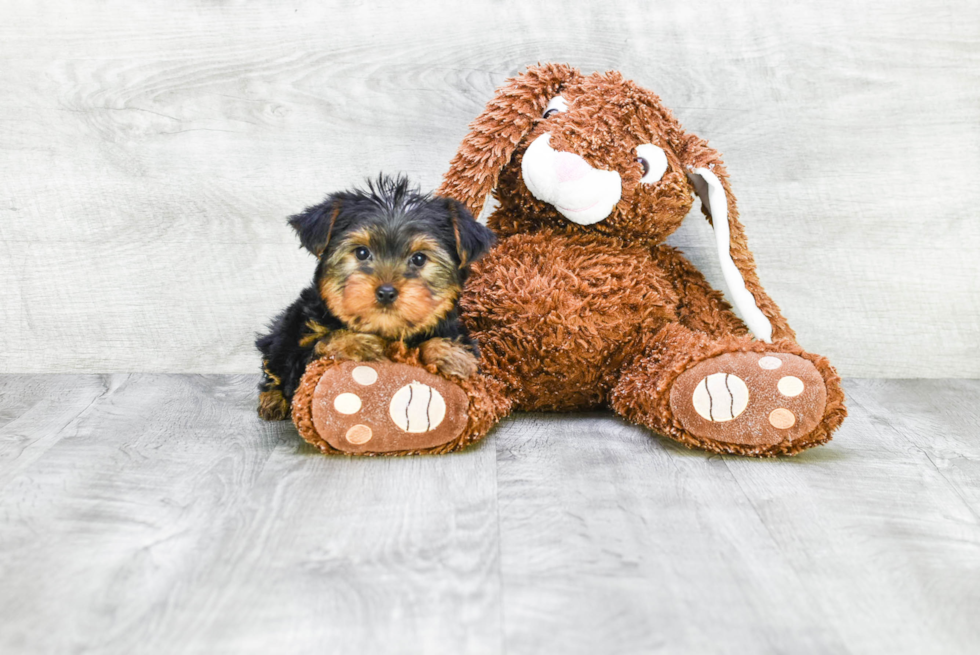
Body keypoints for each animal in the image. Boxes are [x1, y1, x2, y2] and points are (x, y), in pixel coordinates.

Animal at [256, 174, 494, 420]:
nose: (386, 292)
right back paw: (272, 400)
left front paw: (449, 353)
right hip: (284, 332)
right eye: (361, 252)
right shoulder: (301, 351)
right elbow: (322, 344)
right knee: (273, 362)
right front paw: (359, 343)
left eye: (419, 258)